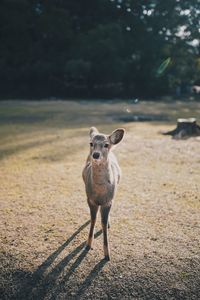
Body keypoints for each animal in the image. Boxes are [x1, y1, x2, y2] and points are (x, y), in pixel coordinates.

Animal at [82, 126, 124, 260]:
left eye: (106, 144)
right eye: (91, 143)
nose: (95, 154)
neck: (100, 193)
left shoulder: (108, 201)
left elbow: (103, 224)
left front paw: (107, 255)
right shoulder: (90, 199)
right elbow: (93, 219)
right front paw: (88, 245)